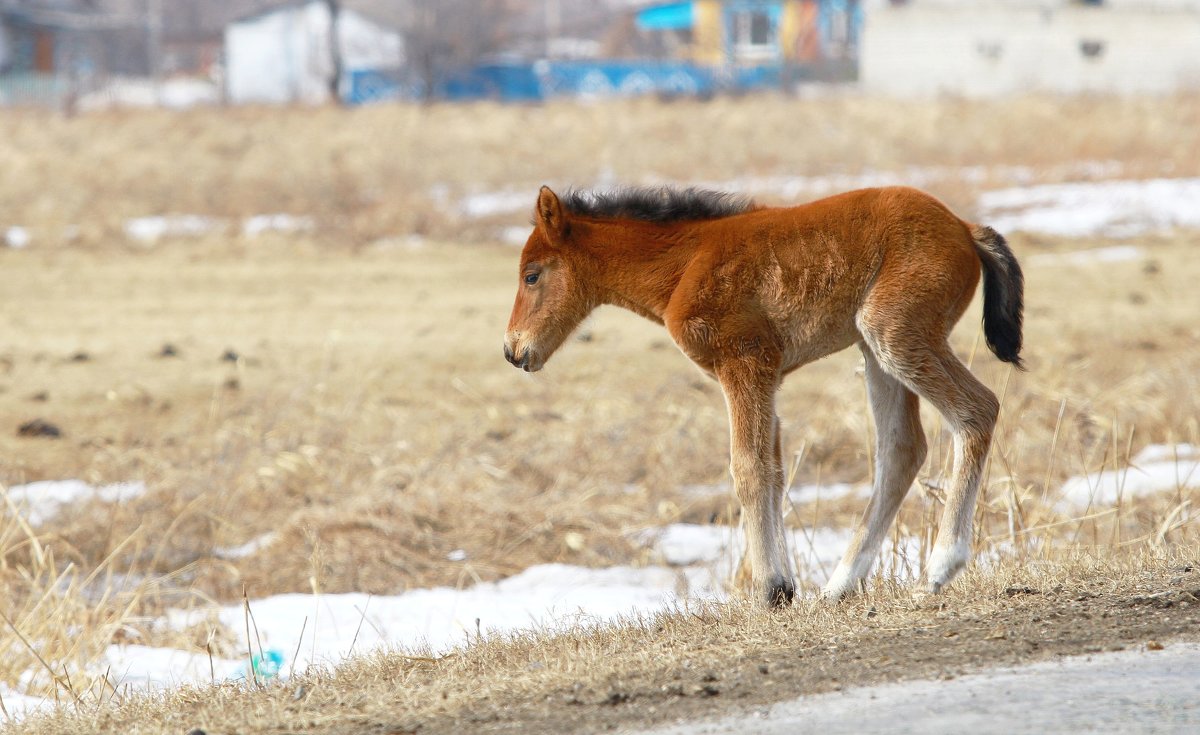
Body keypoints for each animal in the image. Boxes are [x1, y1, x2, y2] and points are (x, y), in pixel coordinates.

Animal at [501, 184, 1027, 607]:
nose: (513, 350)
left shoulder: (745, 362)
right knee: (901, 449)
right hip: (876, 349)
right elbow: (773, 470)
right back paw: (839, 586)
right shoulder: (767, 377)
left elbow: (749, 470)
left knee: (976, 411)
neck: (683, 263)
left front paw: (769, 591)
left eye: (532, 275)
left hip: (895, 334)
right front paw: (786, 586)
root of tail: (965, 228)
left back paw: (940, 567)